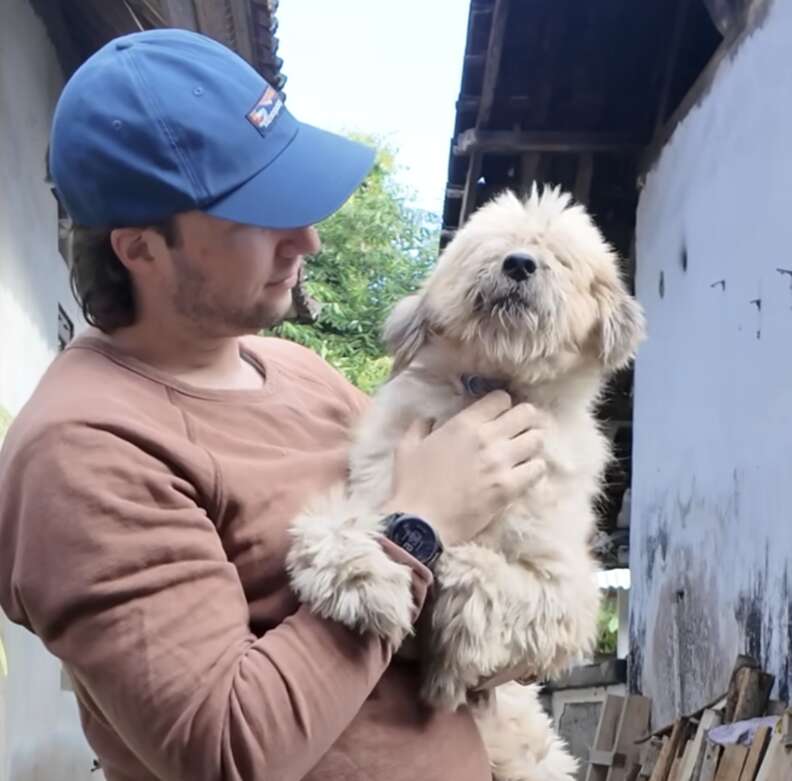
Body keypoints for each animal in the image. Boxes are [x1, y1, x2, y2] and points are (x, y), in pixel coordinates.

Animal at [288, 184, 648, 780]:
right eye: (491, 246)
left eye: (559, 258)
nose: (519, 263)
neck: (491, 384)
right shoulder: (377, 487)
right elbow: (342, 526)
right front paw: (362, 578)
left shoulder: (566, 596)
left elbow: (474, 573)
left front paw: (448, 672)